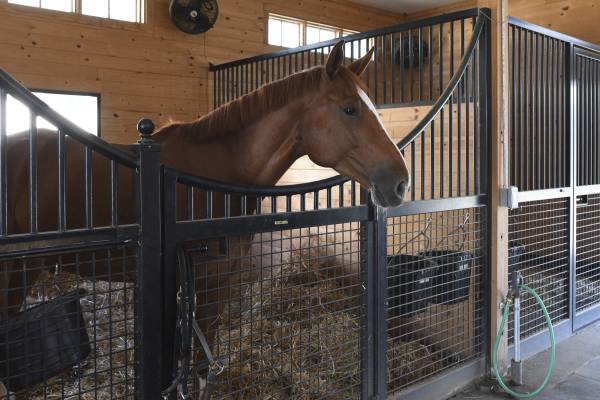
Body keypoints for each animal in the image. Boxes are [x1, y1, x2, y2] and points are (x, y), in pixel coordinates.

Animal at [0, 39, 410, 388]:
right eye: (349, 108)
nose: (402, 183)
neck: (217, 175)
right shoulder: (202, 279)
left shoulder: (218, 280)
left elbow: (199, 361)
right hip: (15, 272)